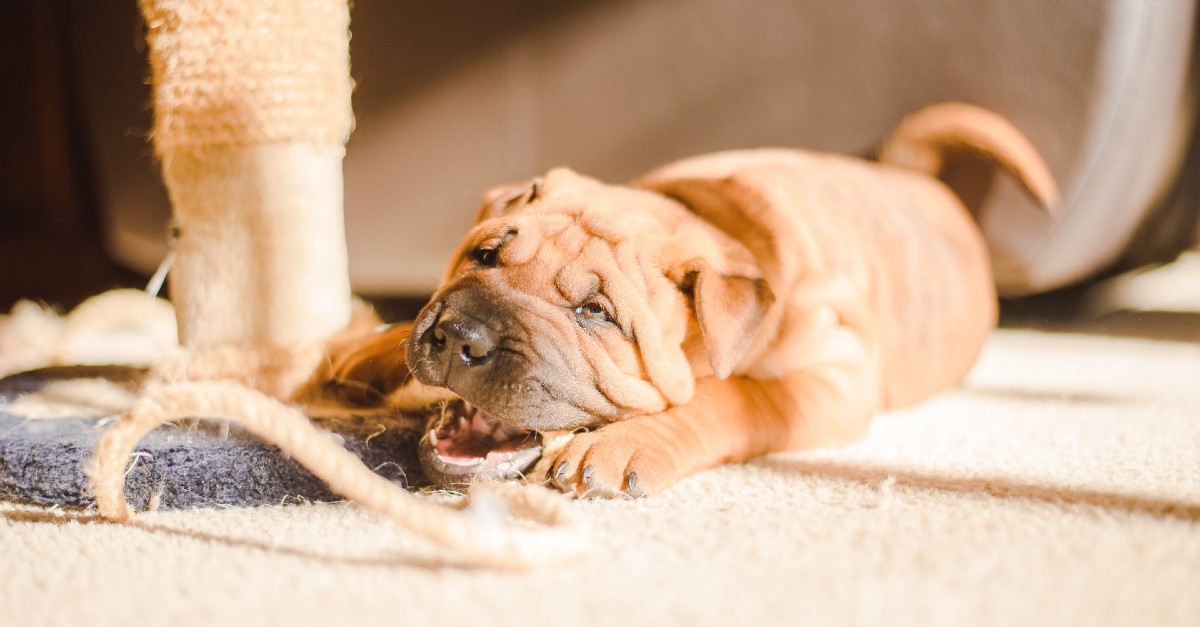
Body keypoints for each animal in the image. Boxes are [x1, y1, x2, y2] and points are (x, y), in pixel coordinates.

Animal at [333, 100, 1056, 494]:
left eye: (595, 314)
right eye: (484, 257)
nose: (460, 336)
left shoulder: (835, 372)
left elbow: (736, 396)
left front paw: (620, 447)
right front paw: (363, 350)